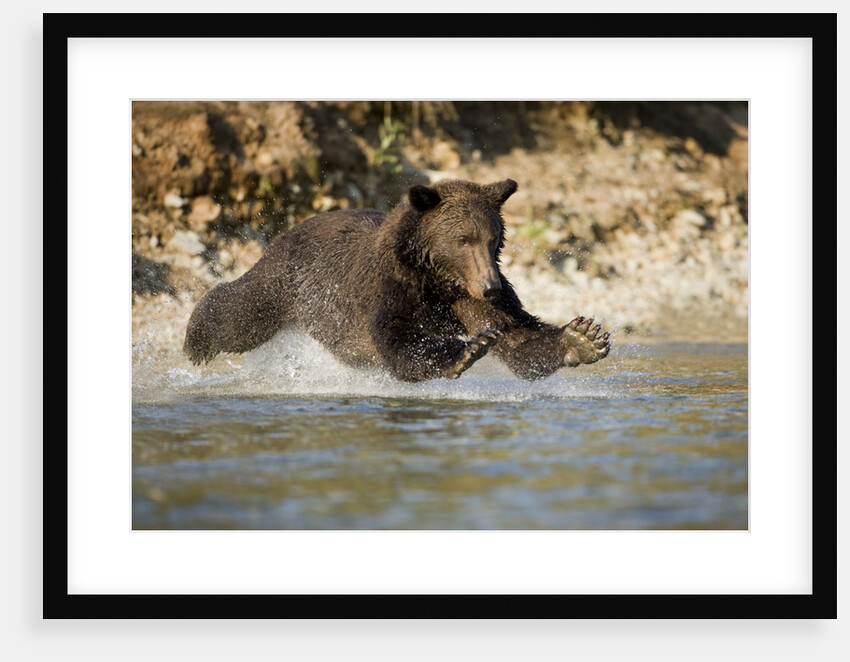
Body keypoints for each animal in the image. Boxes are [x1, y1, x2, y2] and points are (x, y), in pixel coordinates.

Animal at [184, 178, 611, 382]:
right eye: (463, 239)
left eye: (494, 238)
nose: (491, 287)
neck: (436, 277)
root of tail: (289, 229)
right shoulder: (386, 286)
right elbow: (396, 338)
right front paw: (466, 352)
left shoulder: (467, 296)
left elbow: (516, 335)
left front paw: (582, 338)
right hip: (287, 281)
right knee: (241, 314)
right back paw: (195, 340)